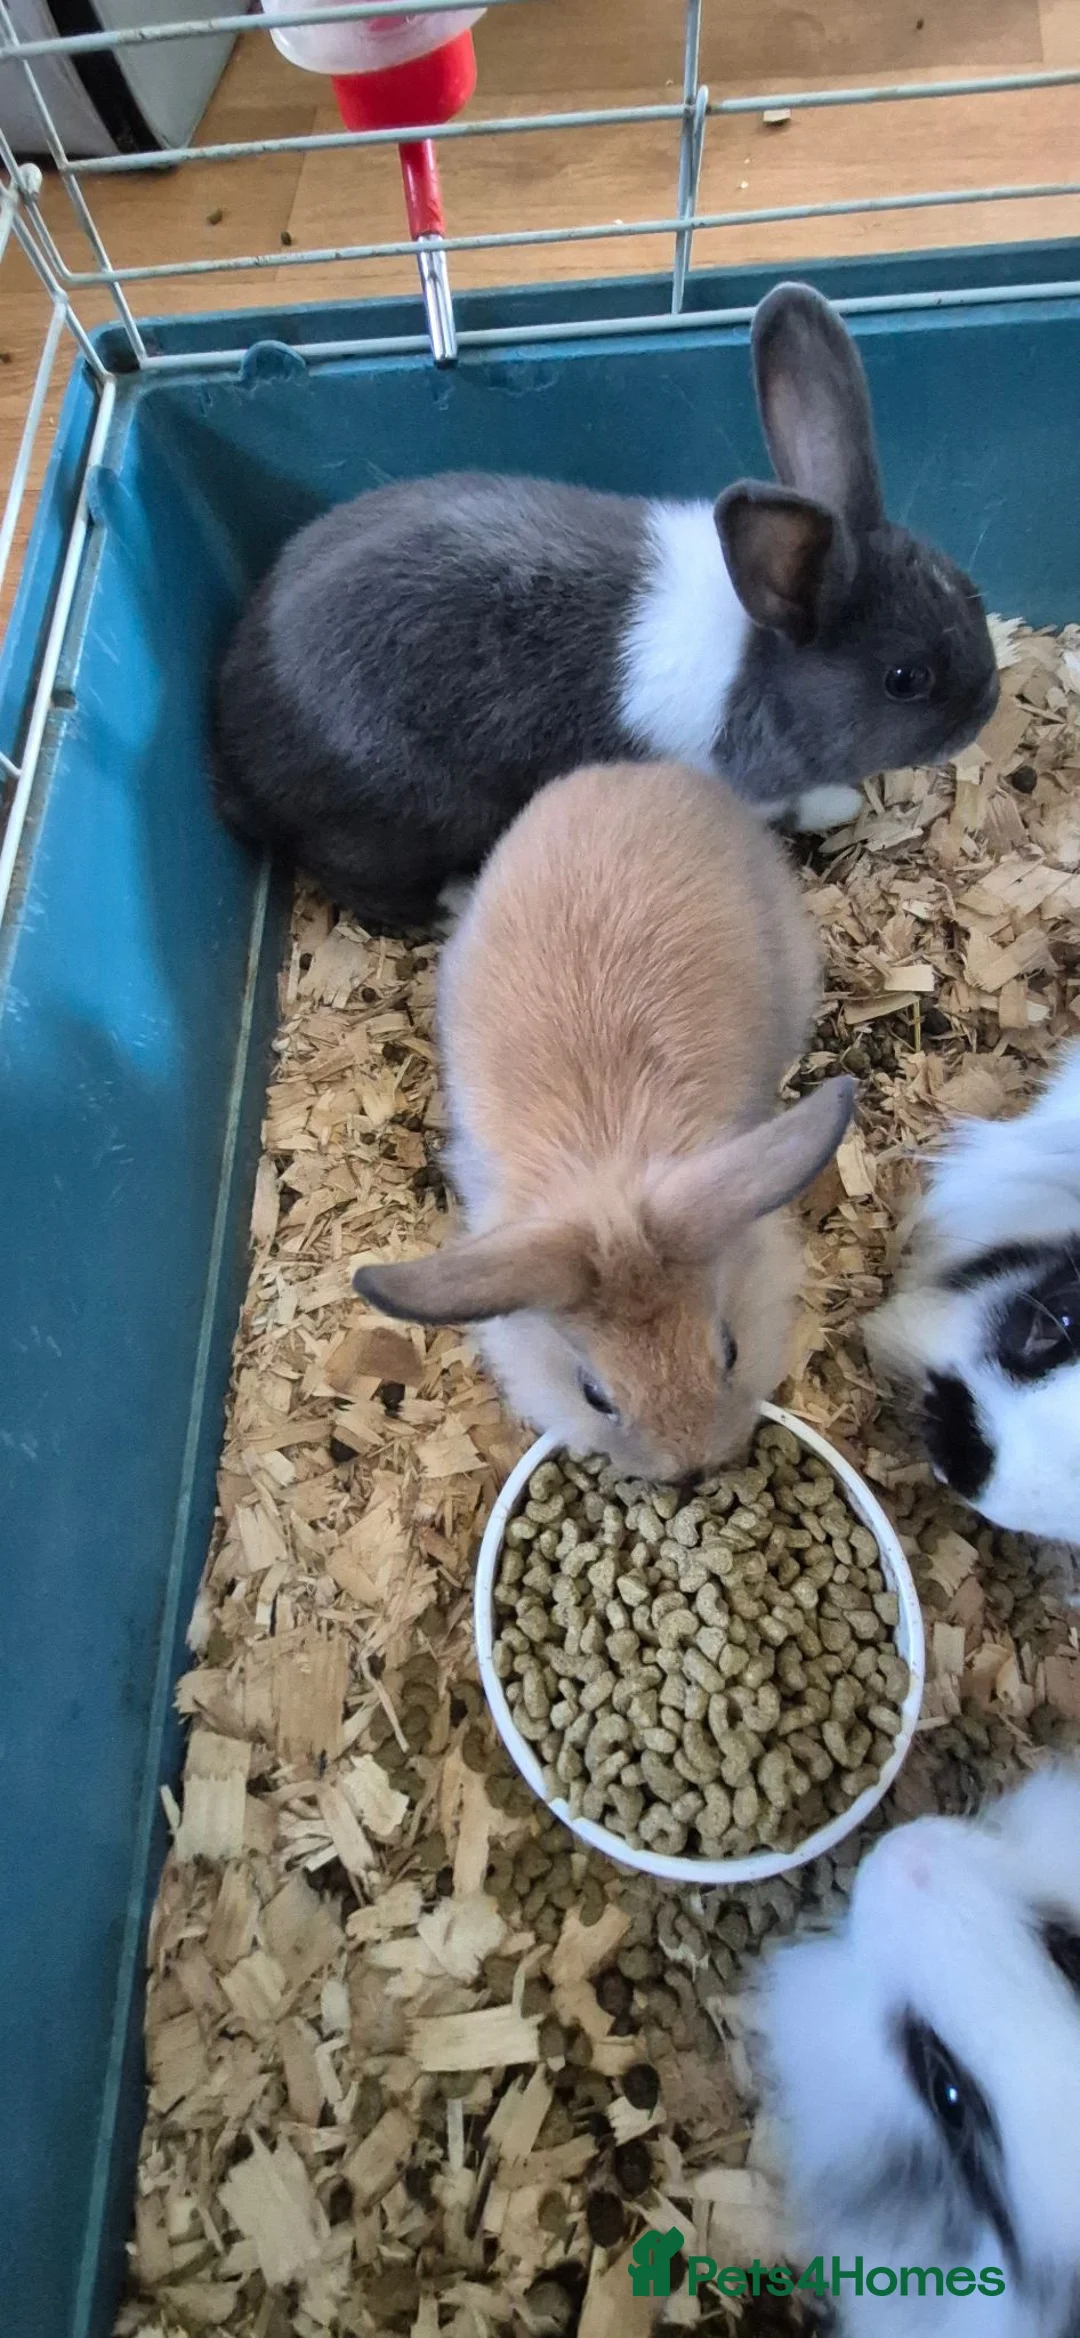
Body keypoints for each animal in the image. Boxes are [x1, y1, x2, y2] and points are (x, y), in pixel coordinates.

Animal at [213, 282, 999, 933]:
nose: (986, 706)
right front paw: (838, 804)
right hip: (403, 818)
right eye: (905, 680)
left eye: (967, 586)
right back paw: (455, 901)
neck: (757, 656)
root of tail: (234, 750)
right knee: (359, 884)